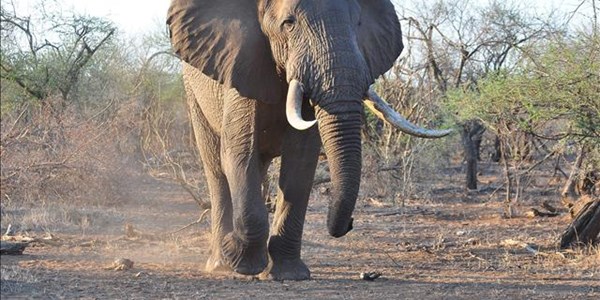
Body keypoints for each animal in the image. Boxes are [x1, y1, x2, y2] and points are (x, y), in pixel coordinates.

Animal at [166, 0, 448, 282]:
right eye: (289, 24)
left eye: (357, 24)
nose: (350, 223)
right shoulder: (240, 66)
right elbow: (239, 152)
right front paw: (240, 261)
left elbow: (299, 162)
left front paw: (289, 274)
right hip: (193, 93)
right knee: (216, 169)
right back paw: (219, 263)